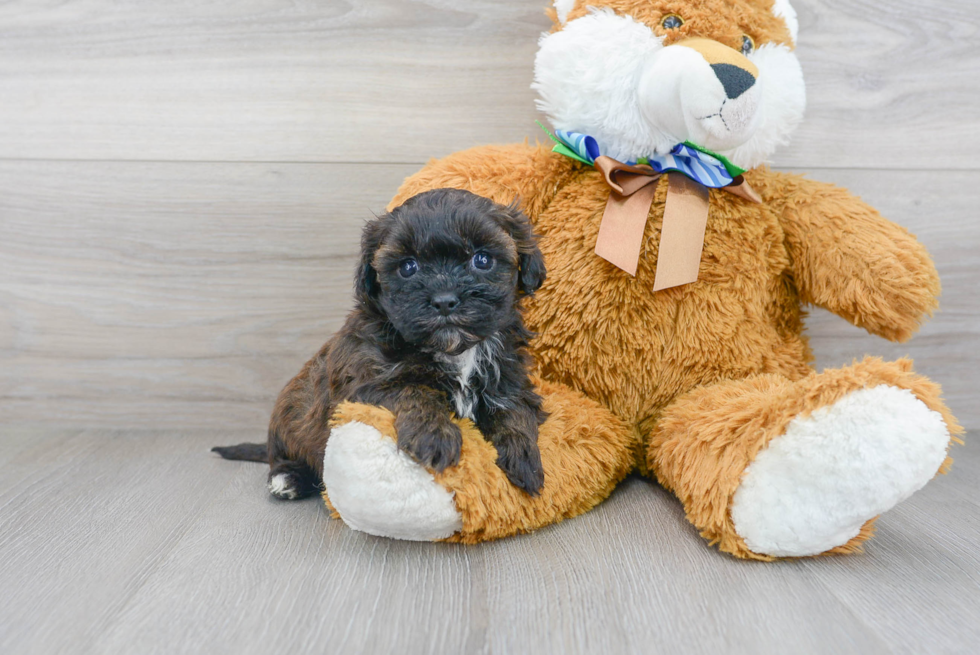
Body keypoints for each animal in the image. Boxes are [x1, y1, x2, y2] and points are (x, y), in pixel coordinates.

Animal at [214, 188, 548, 498]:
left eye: (482, 259)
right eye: (408, 267)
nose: (444, 301)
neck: (455, 351)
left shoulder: (509, 379)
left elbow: (514, 411)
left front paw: (524, 457)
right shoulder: (365, 382)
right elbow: (415, 390)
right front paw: (435, 435)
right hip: (289, 419)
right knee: (284, 456)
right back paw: (288, 479)